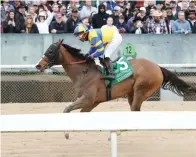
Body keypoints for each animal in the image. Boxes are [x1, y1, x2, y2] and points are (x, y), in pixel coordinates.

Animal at [35, 39, 196, 113]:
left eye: (50, 51)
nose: (38, 65)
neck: (83, 72)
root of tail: (157, 67)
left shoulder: (88, 99)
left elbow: (67, 109)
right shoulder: (91, 102)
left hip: (141, 89)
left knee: (135, 109)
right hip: (132, 93)